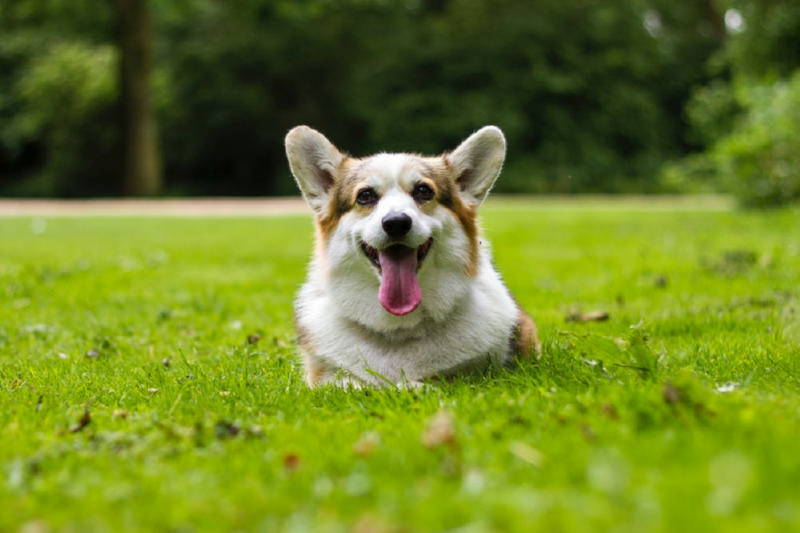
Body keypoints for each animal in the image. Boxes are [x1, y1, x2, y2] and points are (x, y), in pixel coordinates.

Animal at [284, 124, 540, 386]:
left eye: (423, 191)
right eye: (365, 196)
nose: (396, 223)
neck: (399, 328)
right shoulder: (325, 379)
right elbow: (350, 383)